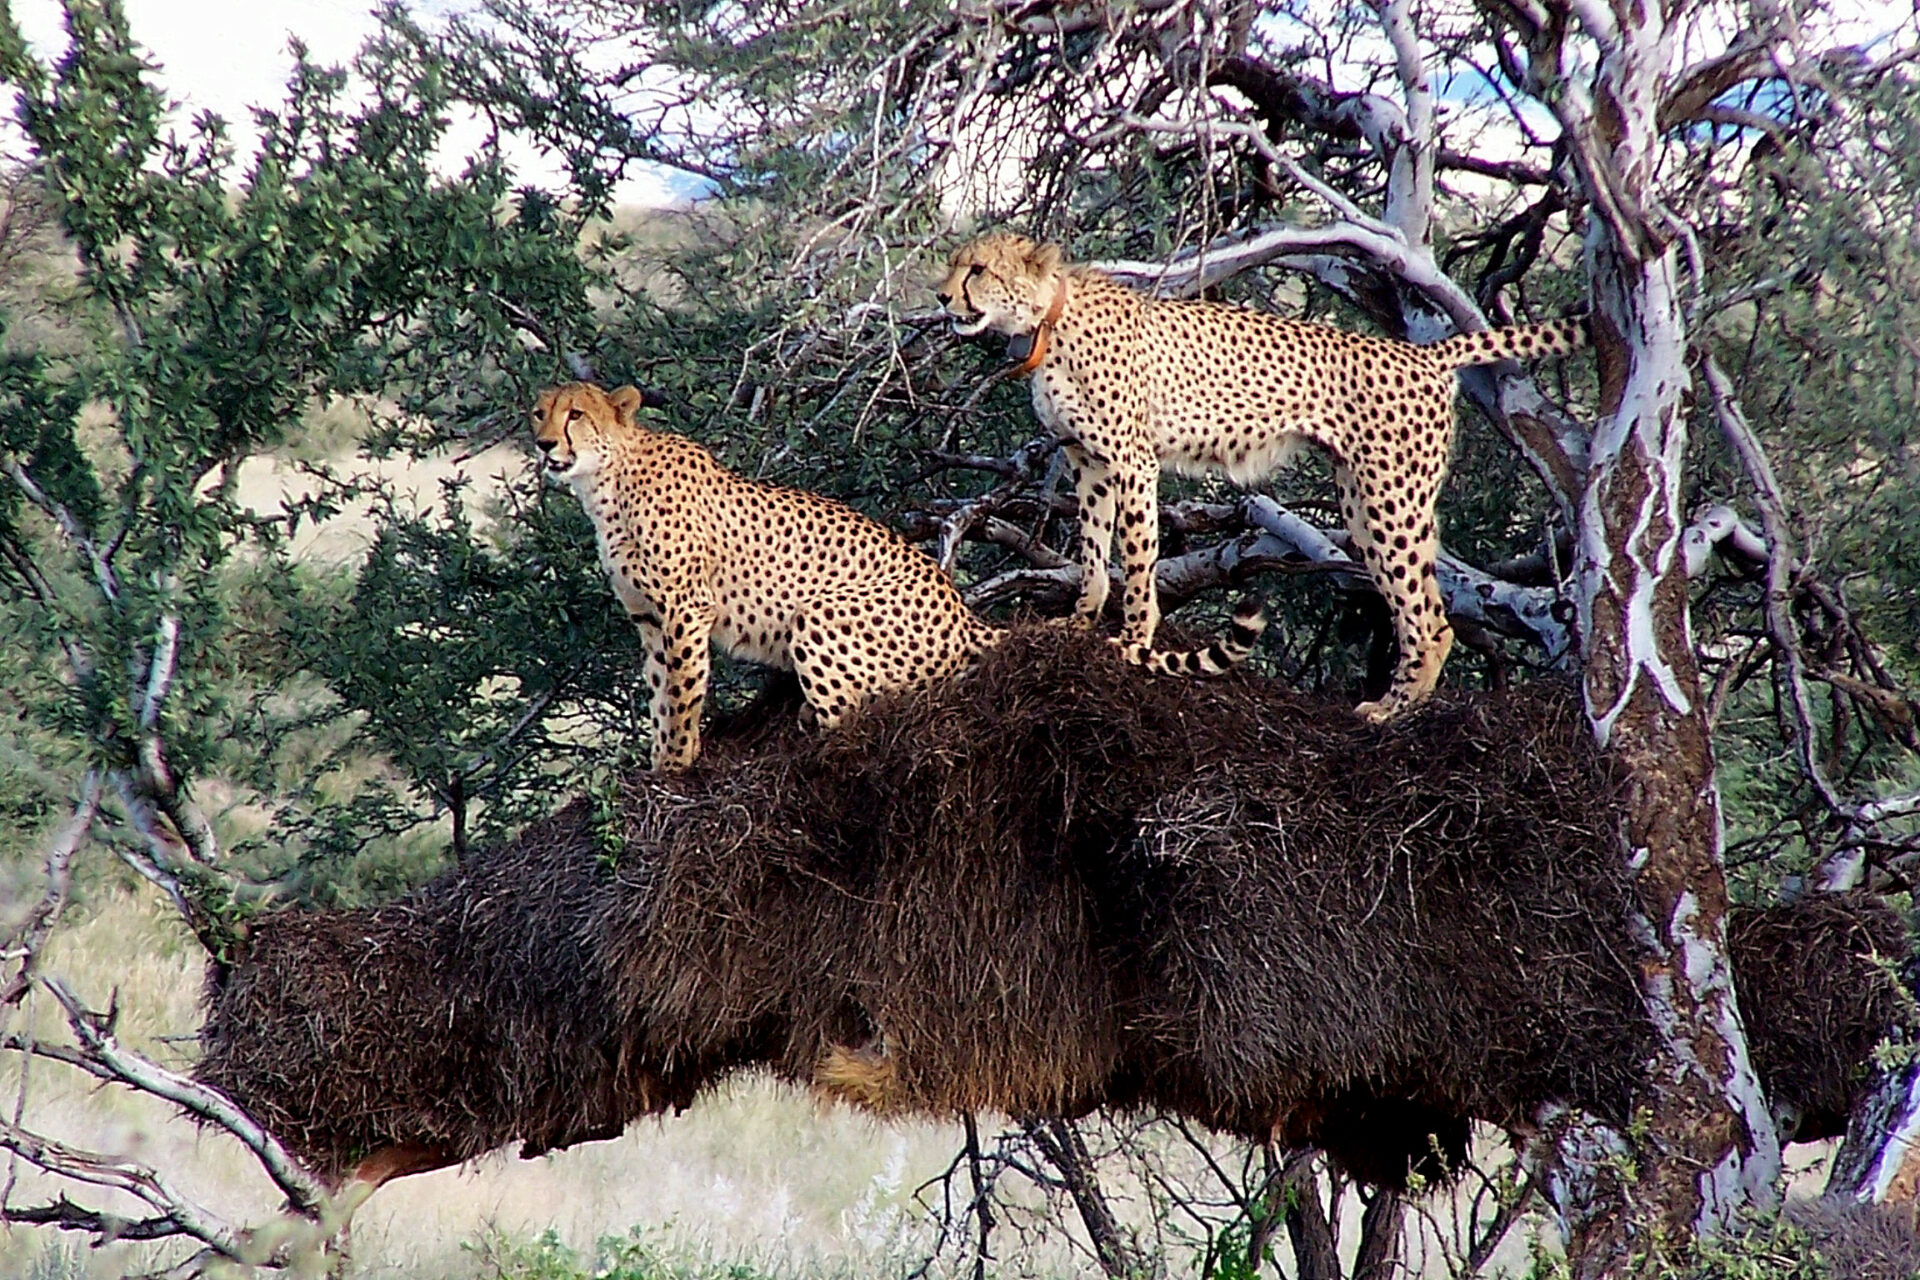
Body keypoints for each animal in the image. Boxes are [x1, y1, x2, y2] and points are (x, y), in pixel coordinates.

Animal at [533, 376, 1267, 767]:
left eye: (577, 415)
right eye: (540, 411)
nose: (542, 444)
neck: (606, 480)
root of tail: (964, 611)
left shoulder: (685, 612)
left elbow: (683, 699)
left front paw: (677, 768)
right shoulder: (649, 618)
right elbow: (662, 696)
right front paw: (658, 766)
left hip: (822, 613)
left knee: (864, 715)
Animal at [936, 233, 1582, 721]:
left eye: (978, 269)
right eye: (954, 264)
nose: (942, 299)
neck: (1049, 316)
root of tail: (1419, 353)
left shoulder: (1132, 460)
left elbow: (1138, 560)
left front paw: (1135, 643)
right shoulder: (1087, 460)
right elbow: (1094, 551)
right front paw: (1079, 622)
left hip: (1391, 497)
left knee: (1429, 616)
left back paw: (1393, 711)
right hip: (1361, 500)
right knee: (1415, 603)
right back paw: (1399, 701)